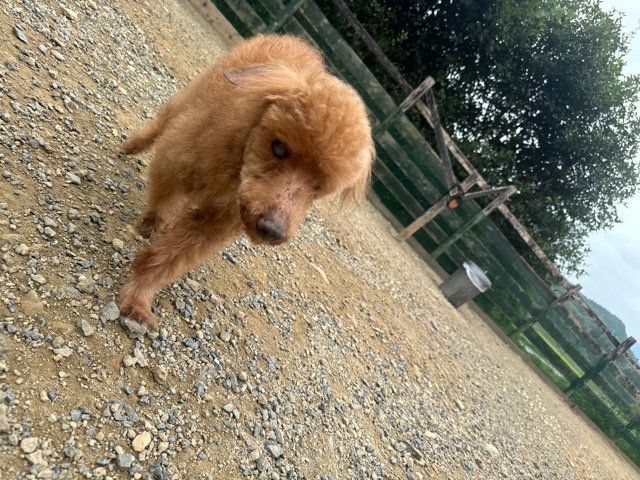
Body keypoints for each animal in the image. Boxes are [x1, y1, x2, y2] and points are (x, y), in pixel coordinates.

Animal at [118, 34, 374, 329]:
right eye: (278, 148)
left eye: (319, 188)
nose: (272, 230)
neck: (235, 170)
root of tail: (298, 42)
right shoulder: (174, 162)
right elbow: (163, 200)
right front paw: (153, 224)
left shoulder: (217, 223)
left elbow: (169, 258)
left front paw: (139, 296)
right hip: (189, 101)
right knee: (163, 120)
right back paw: (133, 145)